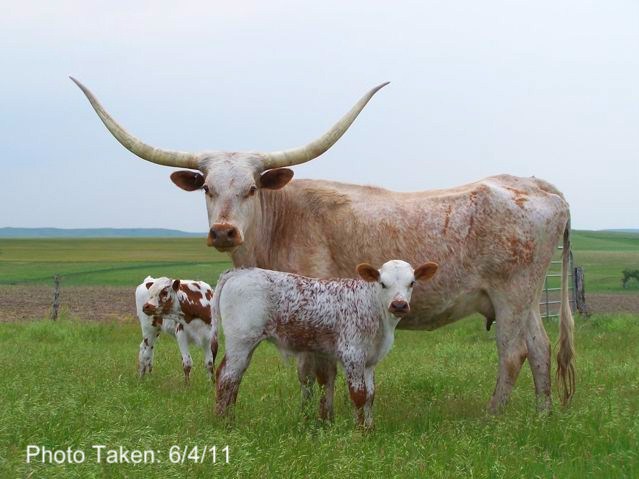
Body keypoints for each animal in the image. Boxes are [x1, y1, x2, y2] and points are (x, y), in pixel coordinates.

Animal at [212, 260, 438, 426]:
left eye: (412, 283)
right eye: (383, 283)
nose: (399, 305)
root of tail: (239, 272)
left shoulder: (370, 360)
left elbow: (370, 395)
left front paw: (370, 428)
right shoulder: (352, 355)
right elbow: (358, 395)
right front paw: (360, 433)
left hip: (246, 345)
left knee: (234, 377)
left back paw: (229, 419)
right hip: (241, 340)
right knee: (227, 377)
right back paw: (224, 423)